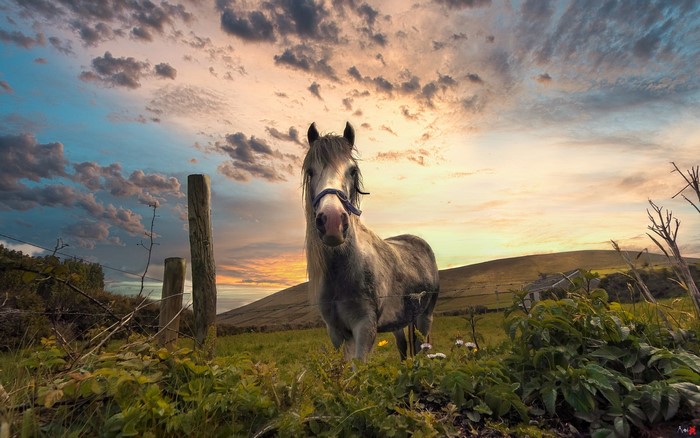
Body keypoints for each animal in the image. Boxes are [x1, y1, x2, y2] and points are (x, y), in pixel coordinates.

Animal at [302, 122, 439, 361]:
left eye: (352, 171)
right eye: (310, 171)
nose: (332, 221)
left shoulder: (364, 328)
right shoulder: (337, 334)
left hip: (425, 317)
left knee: (424, 345)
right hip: (399, 321)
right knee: (404, 347)